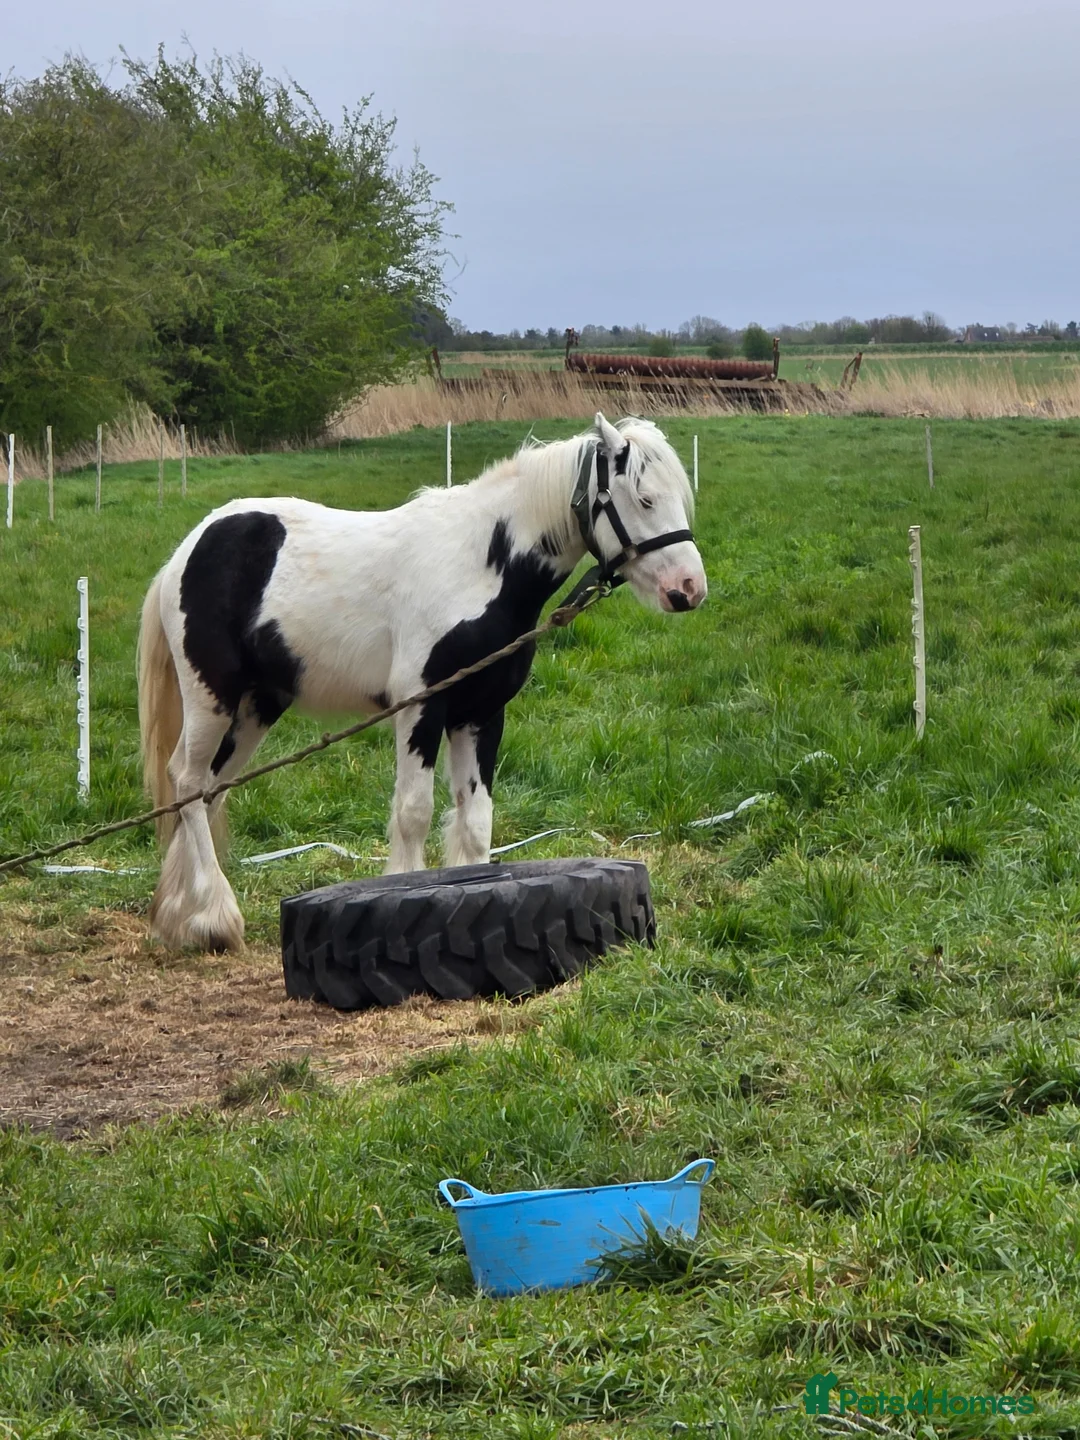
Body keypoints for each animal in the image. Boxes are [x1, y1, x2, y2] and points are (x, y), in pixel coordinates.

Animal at [137, 412, 706, 952]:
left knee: (210, 788)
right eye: (645, 499)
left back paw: (180, 917)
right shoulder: (420, 707)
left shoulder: (480, 714)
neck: (480, 565)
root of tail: (186, 551)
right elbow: (414, 812)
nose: (689, 589)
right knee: (188, 783)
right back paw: (214, 918)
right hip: (212, 695)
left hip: (257, 706)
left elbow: (476, 821)